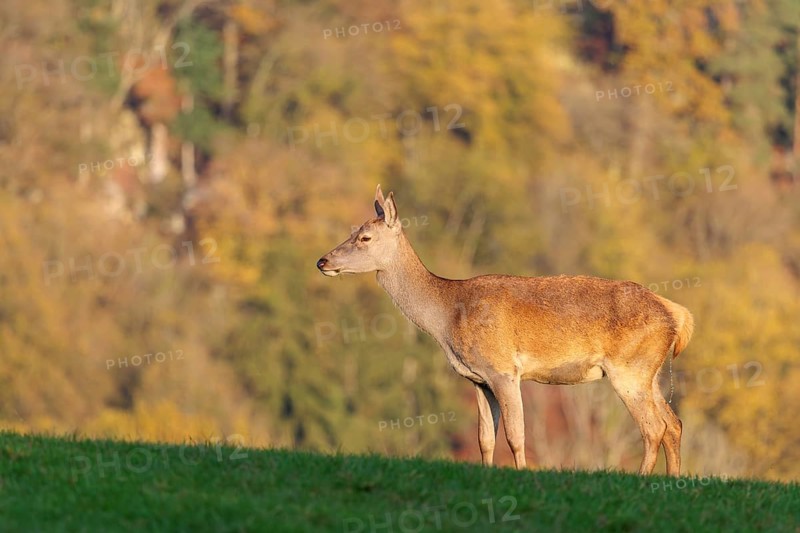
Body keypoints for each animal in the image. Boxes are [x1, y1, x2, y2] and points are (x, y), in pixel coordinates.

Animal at [317, 185, 694, 476]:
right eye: (352, 232)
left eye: (365, 237)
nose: (323, 261)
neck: (448, 315)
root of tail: (677, 314)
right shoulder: (478, 379)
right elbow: (485, 437)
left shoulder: (503, 369)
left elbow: (516, 434)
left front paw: (523, 474)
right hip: (649, 372)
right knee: (673, 423)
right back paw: (672, 480)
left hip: (629, 368)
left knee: (654, 427)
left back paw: (643, 478)